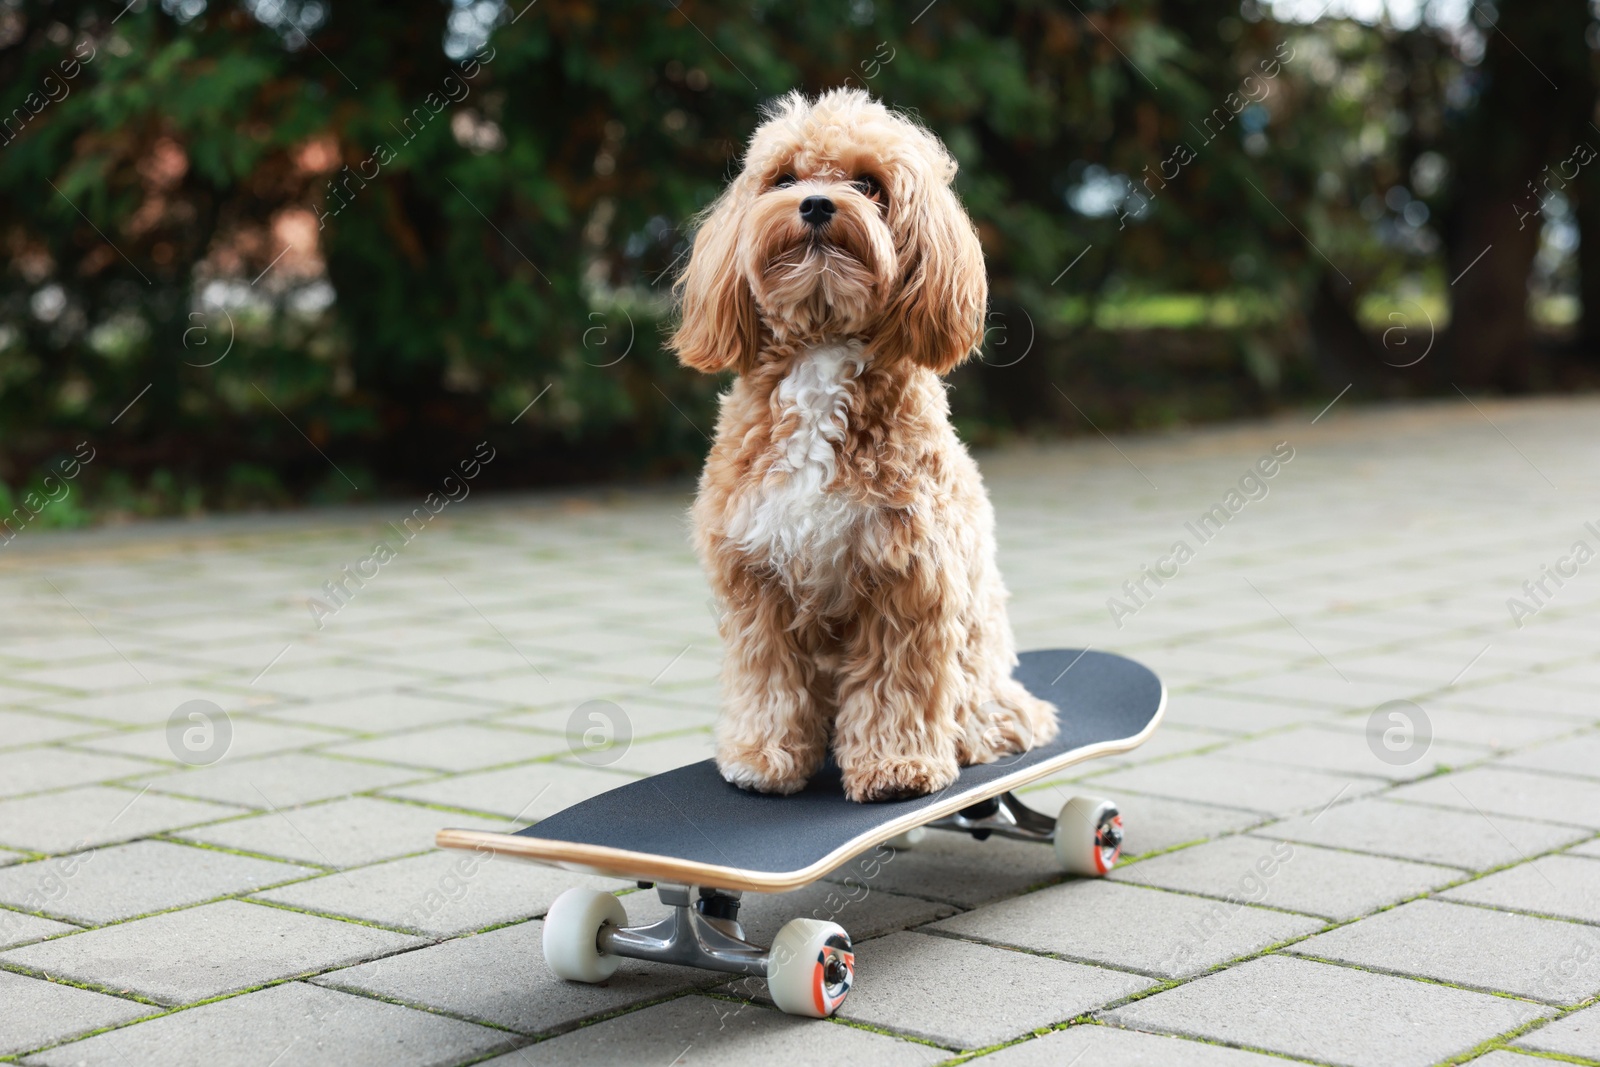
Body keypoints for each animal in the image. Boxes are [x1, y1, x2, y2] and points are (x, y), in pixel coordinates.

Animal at [668, 89, 1056, 799]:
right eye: (783, 179)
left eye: (869, 184)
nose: (818, 205)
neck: (823, 343)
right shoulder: (755, 576)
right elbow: (767, 678)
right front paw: (762, 756)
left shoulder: (907, 577)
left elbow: (893, 685)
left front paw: (896, 766)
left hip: (978, 661)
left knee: (980, 711)